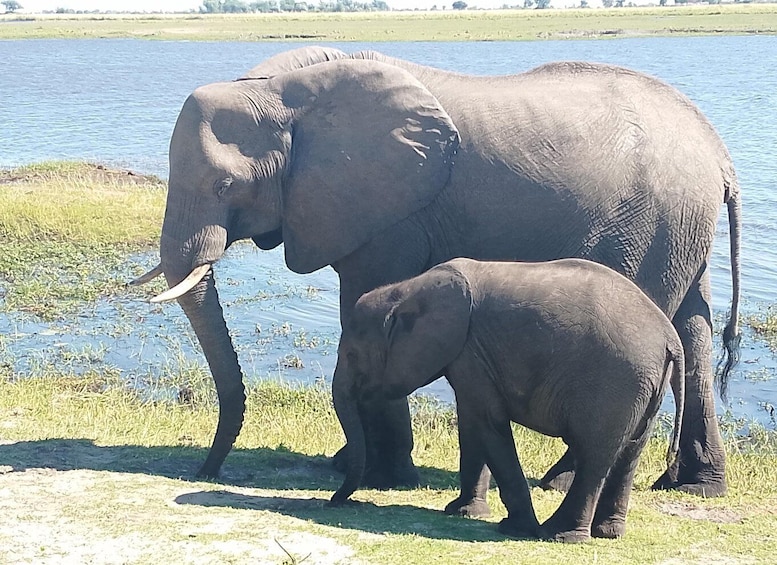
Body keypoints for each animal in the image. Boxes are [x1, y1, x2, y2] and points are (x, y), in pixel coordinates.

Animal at [131, 46, 740, 504]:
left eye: (224, 186)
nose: (204, 473)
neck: (281, 88)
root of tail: (719, 153)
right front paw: (353, 466)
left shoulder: (390, 212)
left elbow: (364, 300)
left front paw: (382, 476)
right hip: (680, 226)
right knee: (694, 328)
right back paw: (694, 487)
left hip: (652, 222)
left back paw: (560, 480)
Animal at [329, 257, 685, 543]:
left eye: (353, 355)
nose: (338, 501)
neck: (408, 289)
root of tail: (670, 338)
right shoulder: (469, 354)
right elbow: (472, 425)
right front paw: (462, 513)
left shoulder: (470, 352)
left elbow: (488, 423)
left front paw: (513, 529)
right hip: (644, 386)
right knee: (629, 453)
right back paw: (608, 534)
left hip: (616, 382)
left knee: (594, 455)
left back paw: (557, 535)